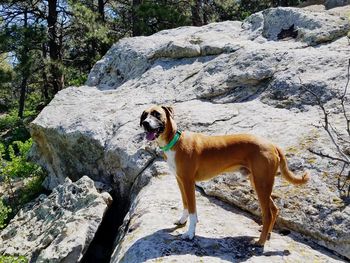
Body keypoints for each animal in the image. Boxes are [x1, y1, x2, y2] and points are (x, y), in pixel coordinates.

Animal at [139, 106, 308, 246]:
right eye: (144, 115)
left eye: (156, 114)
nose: (146, 123)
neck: (175, 141)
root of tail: (272, 145)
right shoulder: (180, 180)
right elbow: (185, 203)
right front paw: (182, 220)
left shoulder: (188, 182)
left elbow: (193, 209)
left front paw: (190, 233)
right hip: (259, 183)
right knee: (274, 209)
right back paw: (267, 235)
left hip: (261, 185)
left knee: (267, 214)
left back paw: (260, 242)